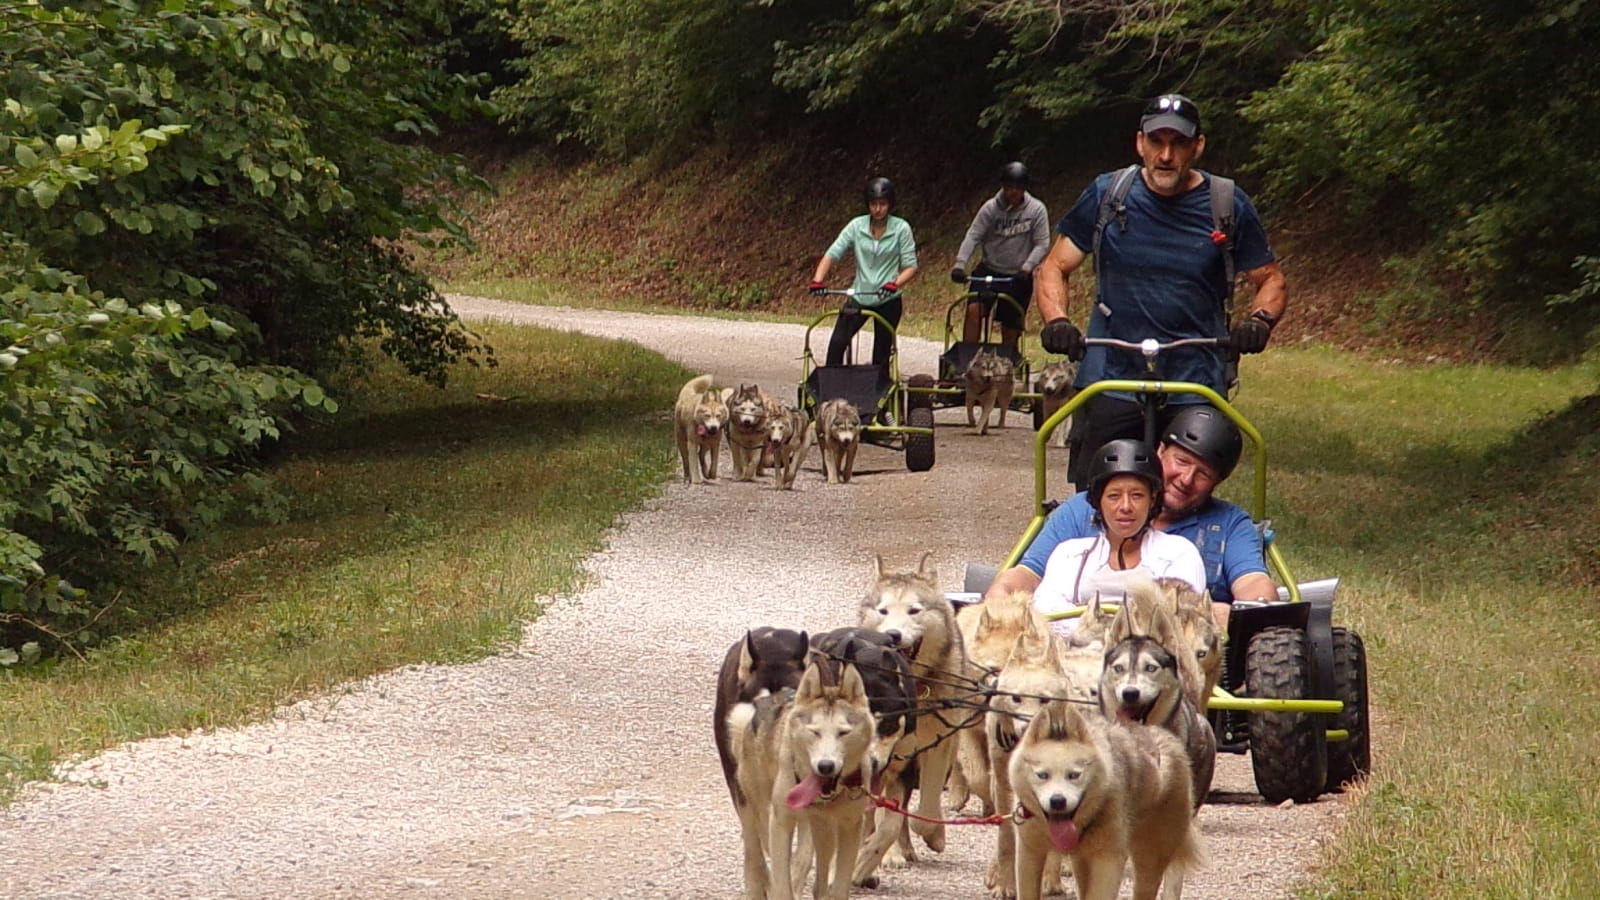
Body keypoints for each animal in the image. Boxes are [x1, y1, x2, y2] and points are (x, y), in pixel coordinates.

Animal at [732, 650, 883, 896]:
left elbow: (838, 884)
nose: (825, 766)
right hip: (754, 812)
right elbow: (781, 884)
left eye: (843, 733)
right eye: (815, 732)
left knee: (819, 873)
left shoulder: (850, 825)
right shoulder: (781, 823)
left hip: (822, 831)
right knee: (755, 855)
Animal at [857, 550, 966, 851]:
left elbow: (926, 810)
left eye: (914, 610)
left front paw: (934, 834)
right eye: (883, 611)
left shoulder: (938, 744)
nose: (892, 634)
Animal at [1011, 701, 1203, 896]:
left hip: (1150, 858)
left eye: (1074, 775)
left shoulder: (1107, 861)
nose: (1058, 801)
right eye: (1042, 775)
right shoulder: (1029, 854)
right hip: (1082, 861)